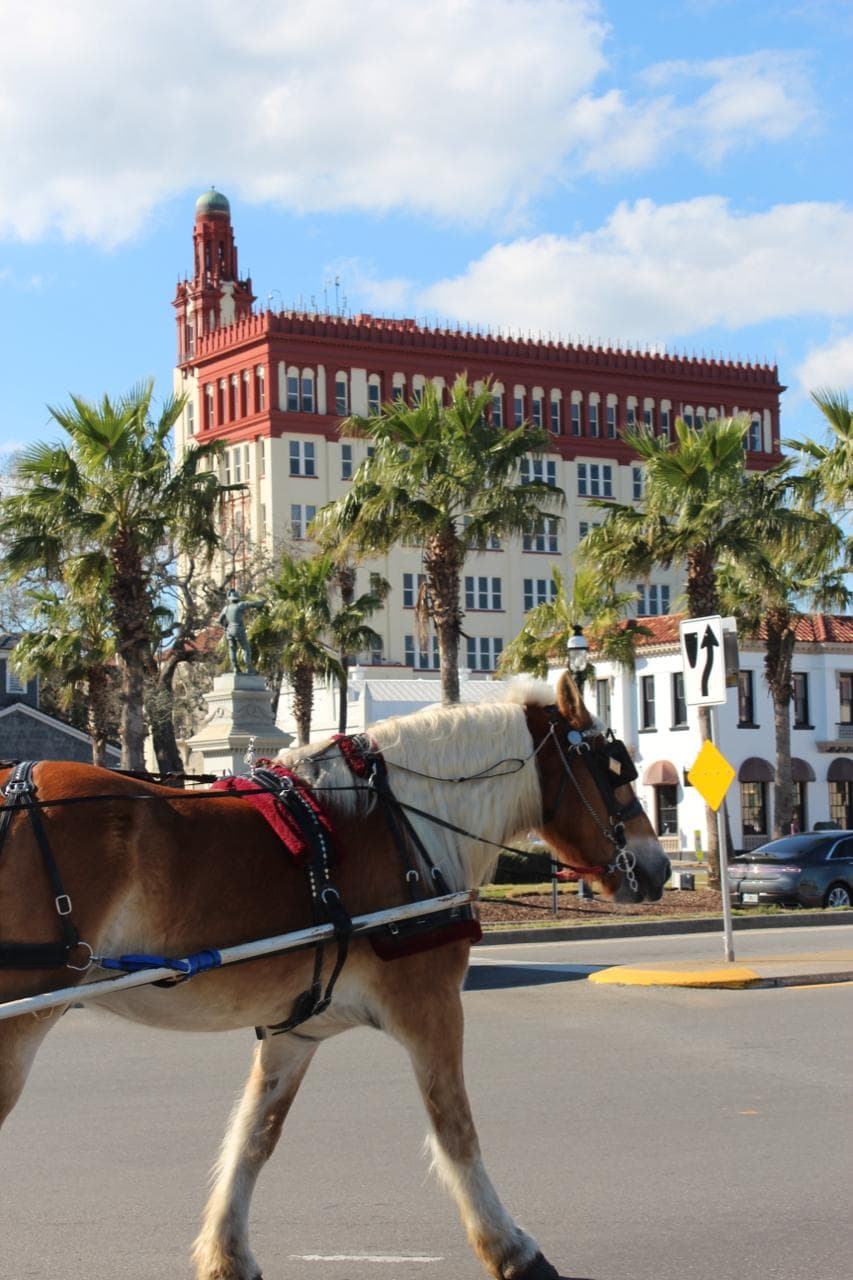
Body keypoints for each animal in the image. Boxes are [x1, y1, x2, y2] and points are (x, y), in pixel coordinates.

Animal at [0, 672, 670, 1280]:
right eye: (613, 771)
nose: (659, 868)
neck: (409, 829)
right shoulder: (432, 1008)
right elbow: (455, 1130)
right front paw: (512, 1249)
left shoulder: (295, 1032)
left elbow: (255, 1136)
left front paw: (227, 1255)